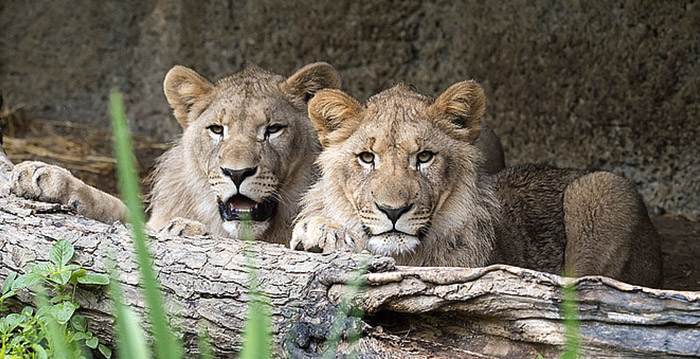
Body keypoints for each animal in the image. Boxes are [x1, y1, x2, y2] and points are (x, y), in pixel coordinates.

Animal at [12, 62, 346, 245]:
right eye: (216, 129)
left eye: (273, 129)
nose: (237, 173)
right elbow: (111, 205)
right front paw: (44, 177)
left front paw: (324, 227)